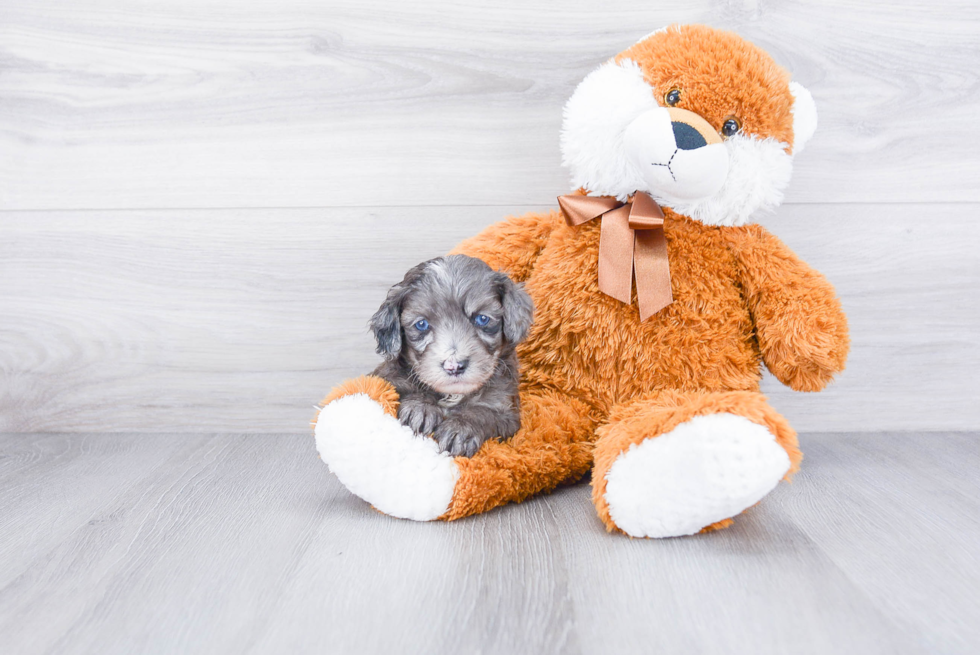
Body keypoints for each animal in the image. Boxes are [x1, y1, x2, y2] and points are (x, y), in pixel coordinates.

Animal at [370, 254, 536, 458]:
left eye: (482, 319)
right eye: (421, 324)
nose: (454, 366)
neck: (452, 395)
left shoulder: (507, 412)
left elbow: (484, 412)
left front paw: (461, 428)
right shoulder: (386, 378)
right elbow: (403, 389)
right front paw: (420, 407)